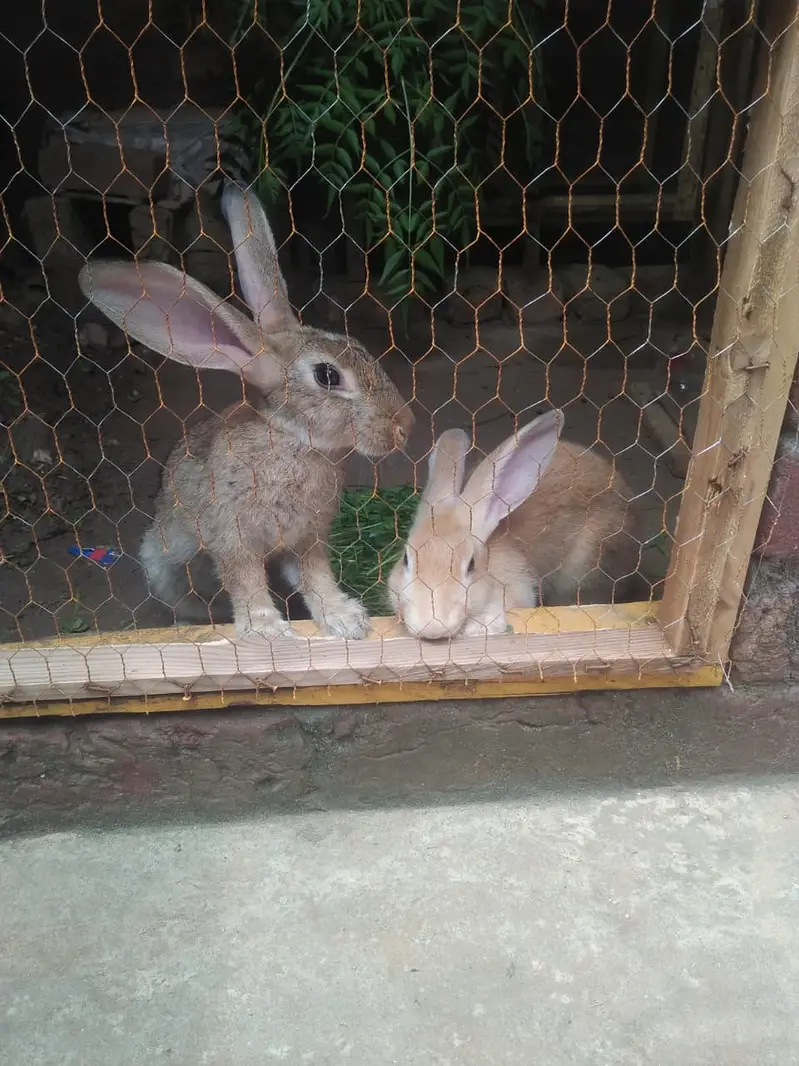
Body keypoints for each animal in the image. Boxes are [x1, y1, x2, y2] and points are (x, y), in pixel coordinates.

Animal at [79, 183, 414, 640]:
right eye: (327, 375)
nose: (404, 427)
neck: (291, 440)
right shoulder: (232, 538)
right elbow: (245, 578)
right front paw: (266, 629)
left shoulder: (307, 540)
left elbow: (316, 577)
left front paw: (345, 619)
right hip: (164, 565)